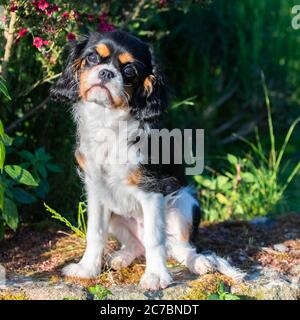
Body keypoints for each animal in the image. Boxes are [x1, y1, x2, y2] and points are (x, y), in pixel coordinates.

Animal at [51, 30, 244, 290]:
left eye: (130, 71)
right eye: (91, 58)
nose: (106, 72)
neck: (109, 121)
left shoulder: (152, 190)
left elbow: (155, 239)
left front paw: (155, 276)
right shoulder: (96, 192)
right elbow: (95, 233)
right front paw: (87, 269)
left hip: (185, 205)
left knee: (181, 248)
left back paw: (200, 263)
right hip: (117, 216)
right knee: (137, 245)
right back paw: (120, 258)